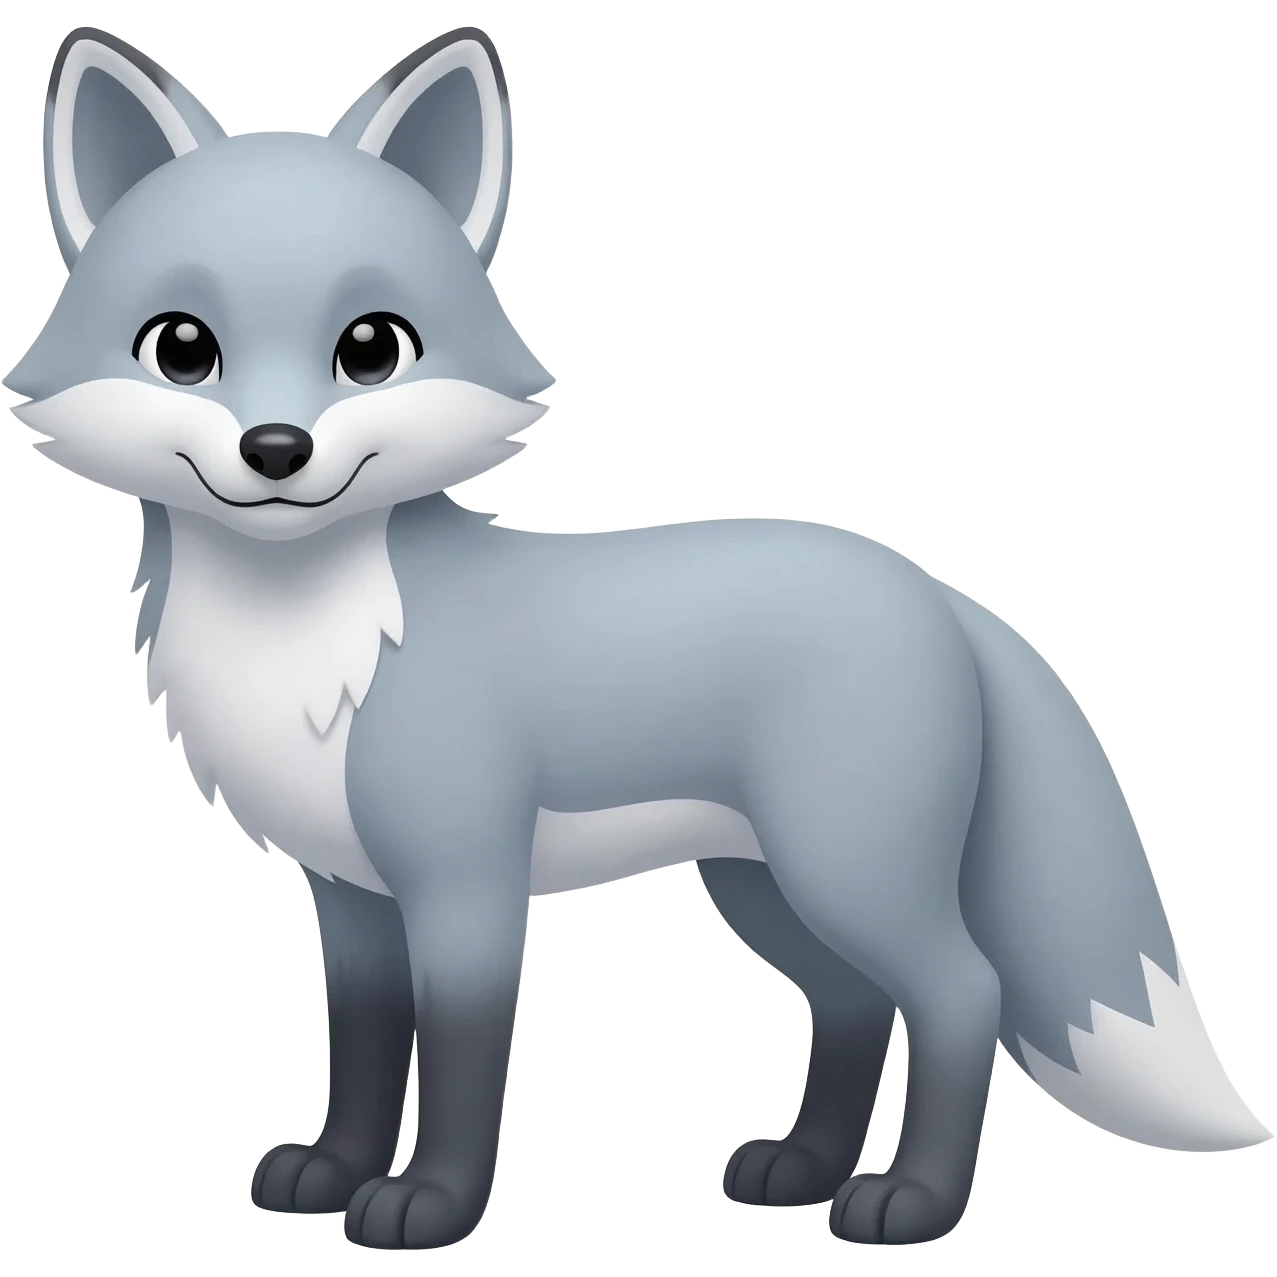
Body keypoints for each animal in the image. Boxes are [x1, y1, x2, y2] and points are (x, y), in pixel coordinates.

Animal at [7, 23, 1271, 1253]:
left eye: (370, 348)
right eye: (182, 347)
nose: (275, 449)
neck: (315, 645)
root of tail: (931, 587)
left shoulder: (466, 878)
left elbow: (458, 1056)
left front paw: (431, 1205)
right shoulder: (350, 892)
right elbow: (362, 1046)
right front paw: (332, 1170)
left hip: (844, 866)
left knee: (964, 991)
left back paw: (908, 1204)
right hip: (763, 884)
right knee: (854, 1004)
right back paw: (800, 1170)